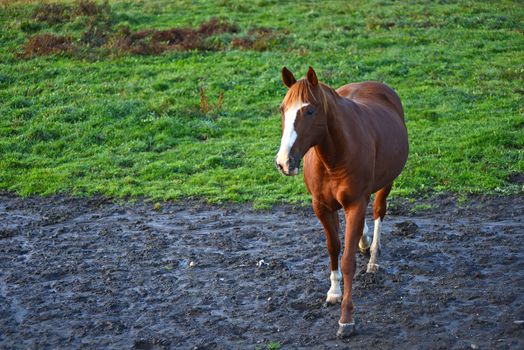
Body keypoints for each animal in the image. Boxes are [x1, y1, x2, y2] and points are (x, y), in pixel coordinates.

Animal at [274, 67, 410, 338]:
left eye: (309, 111)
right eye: (283, 110)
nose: (284, 162)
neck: (333, 158)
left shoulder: (355, 204)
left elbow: (348, 261)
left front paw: (346, 319)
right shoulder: (321, 207)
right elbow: (333, 248)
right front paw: (334, 292)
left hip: (386, 182)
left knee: (378, 212)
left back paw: (373, 258)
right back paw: (364, 241)